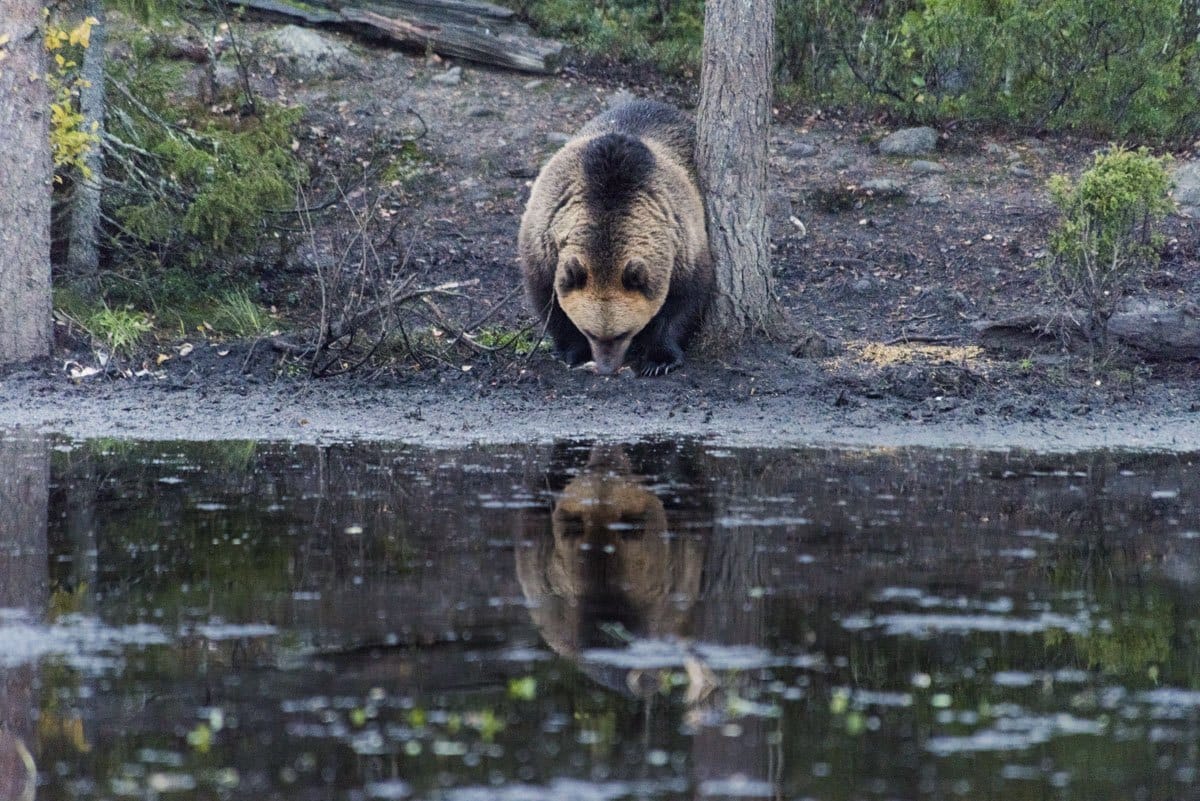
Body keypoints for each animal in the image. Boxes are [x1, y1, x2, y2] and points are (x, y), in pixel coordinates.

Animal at [518, 99, 714, 376]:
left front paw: (660, 359)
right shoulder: (544, 245)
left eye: (624, 332)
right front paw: (575, 352)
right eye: (589, 331)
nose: (607, 368)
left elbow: (685, 300)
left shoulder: (683, 244)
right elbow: (549, 303)